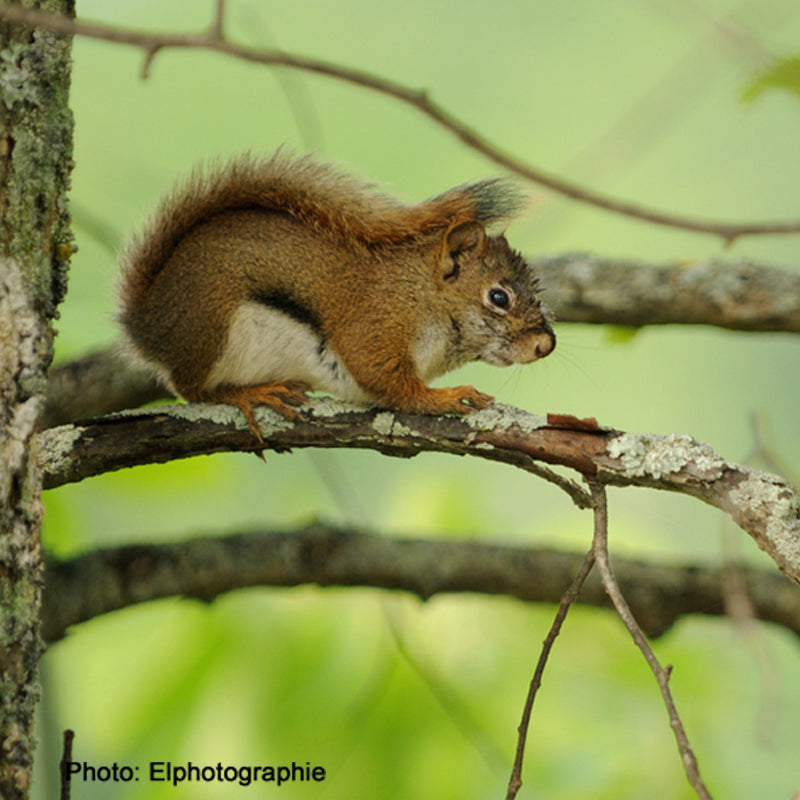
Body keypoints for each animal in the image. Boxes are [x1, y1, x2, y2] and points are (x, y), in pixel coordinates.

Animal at [119, 150, 556, 438]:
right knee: (192, 388)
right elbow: (394, 386)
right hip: (212, 326)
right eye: (498, 297)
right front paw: (446, 396)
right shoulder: (375, 326)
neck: (422, 295)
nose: (545, 345)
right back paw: (251, 392)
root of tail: (144, 324)